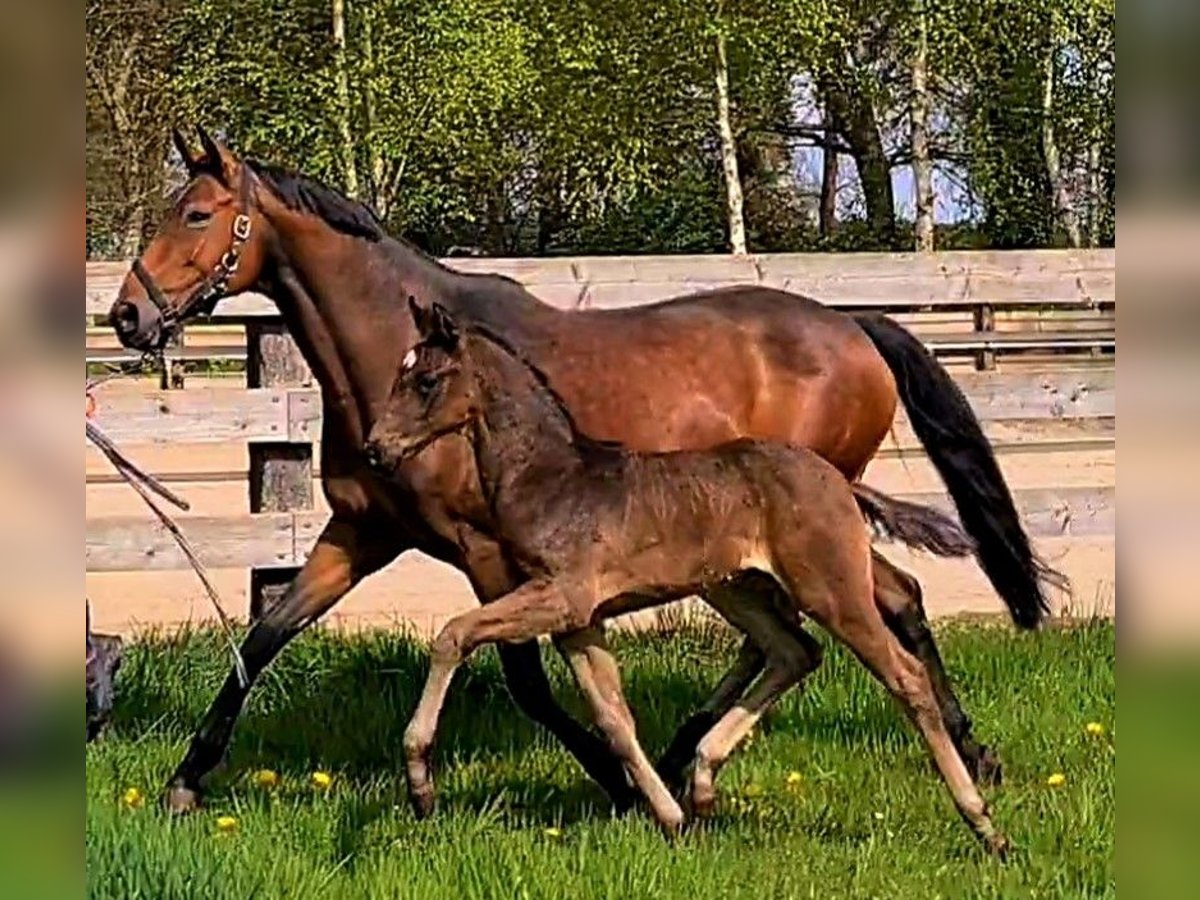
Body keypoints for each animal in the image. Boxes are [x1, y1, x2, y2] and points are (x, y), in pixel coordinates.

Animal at [360, 300, 1008, 854]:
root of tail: (838, 481)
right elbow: (614, 718)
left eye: (425, 381)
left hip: (830, 587)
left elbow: (453, 634)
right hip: (736, 588)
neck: (551, 478)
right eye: (399, 375)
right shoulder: (579, 621)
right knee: (794, 651)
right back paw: (700, 781)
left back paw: (984, 824)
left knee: (903, 676)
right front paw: (668, 818)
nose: (375, 450)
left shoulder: (560, 597)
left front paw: (419, 783)